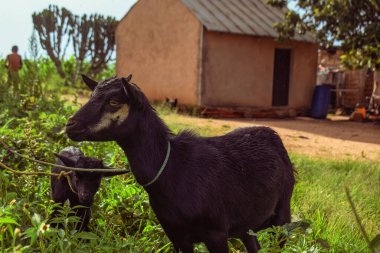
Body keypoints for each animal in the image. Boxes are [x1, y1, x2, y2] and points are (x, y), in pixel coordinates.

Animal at [65, 74, 296, 251]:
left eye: (114, 102)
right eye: (92, 96)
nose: (70, 125)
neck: (173, 168)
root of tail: (273, 135)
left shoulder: (216, 232)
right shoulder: (176, 235)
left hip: (282, 215)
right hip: (247, 224)